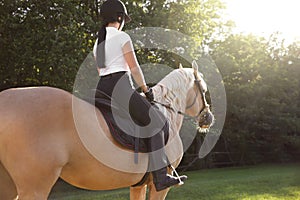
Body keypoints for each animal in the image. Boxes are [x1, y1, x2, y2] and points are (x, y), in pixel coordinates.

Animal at [0, 61, 214, 200]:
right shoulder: (158, 187)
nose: (208, 118)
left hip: (9, 187)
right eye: (203, 90)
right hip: (34, 187)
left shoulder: (138, 185)